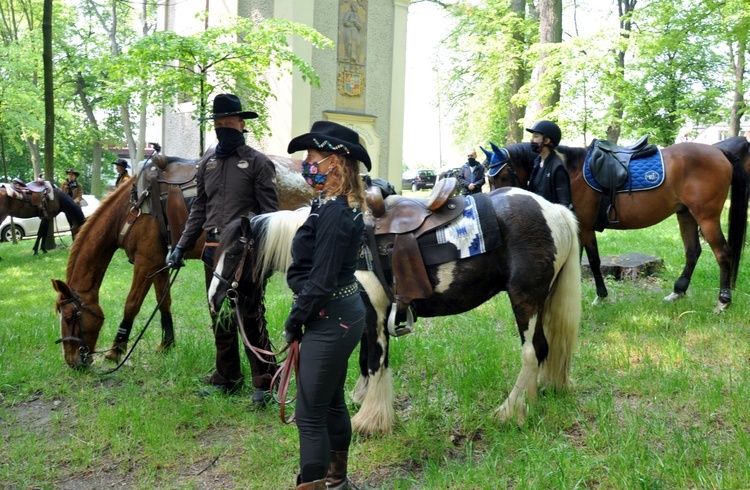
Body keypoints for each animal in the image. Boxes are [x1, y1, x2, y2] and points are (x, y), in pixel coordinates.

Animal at [52, 156, 312, 368]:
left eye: (70, 317)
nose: (72, 361)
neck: (131, 209)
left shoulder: (145, 263)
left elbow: (132, 304)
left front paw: (116, 350)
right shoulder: (160, 262)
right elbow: (164, 301)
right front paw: (166, 344)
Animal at [209, 182, 584, 434]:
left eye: (233, 253)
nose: (213, 298)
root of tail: (554, 210)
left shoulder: (374, 310)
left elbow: (376, 361)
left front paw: (370, 421)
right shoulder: (365, 313)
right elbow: (363, 358)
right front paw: (361, 399)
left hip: (525, 299)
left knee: (532, 352)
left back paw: (509, 411)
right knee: (546, 349)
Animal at [484, 140, 748, 312]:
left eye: (504, 175)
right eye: (489, 177)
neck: (568, 170)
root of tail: (719, 150)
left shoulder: (584, 227)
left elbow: (592, 261)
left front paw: (599, 297)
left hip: (706, 216)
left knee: (722, 253)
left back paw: (723, 300)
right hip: (686, 214)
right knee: (693, 251)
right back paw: (678, 291)